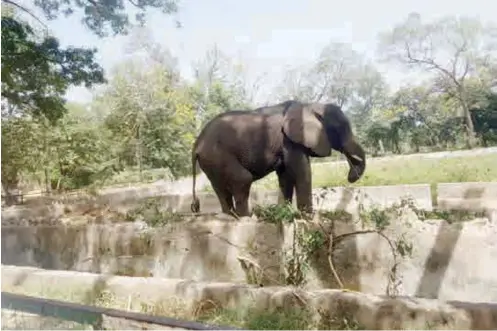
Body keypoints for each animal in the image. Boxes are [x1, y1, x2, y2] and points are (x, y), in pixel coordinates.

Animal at [189, 100, 364, 218]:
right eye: (340, 128)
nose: (351, 175)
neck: (309, 106)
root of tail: (196, 144)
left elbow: (285, 175)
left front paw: (283, 212)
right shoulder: (290, 140)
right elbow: (301, 171)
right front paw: (307, 216)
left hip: (211, 161)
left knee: (220, 187)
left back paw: (230, 216)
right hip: (217, 155)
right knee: (243, 179)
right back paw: (247, 217)